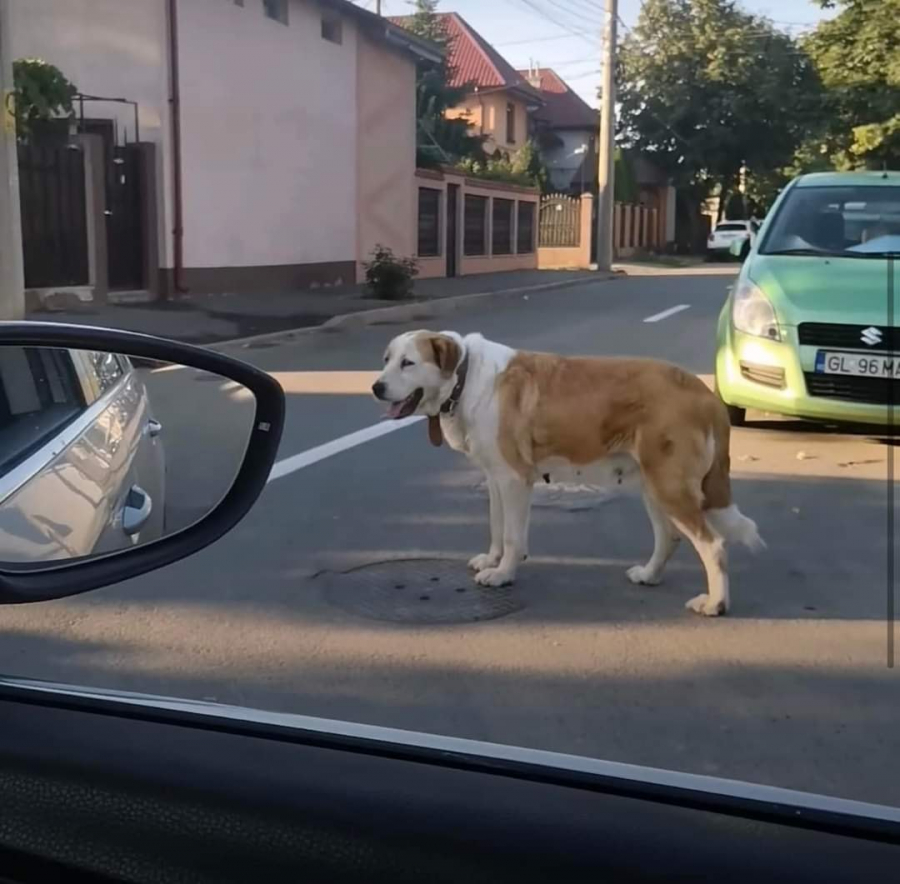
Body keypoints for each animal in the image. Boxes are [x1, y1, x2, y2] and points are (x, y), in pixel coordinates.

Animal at [370, 330, 764, 616]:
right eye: (386, 359)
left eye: (408, 363)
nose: (376, 387)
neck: (464, 380)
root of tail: (706, 394)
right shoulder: (496, 479)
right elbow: (497, 527)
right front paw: (492, 560)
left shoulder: (514, 480)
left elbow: (512, 536)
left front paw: (503, 574)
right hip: (654, 484)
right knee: (669, 538)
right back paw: (649, 575)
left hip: (670, 486)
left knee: (712, 545)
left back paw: (715, 604)